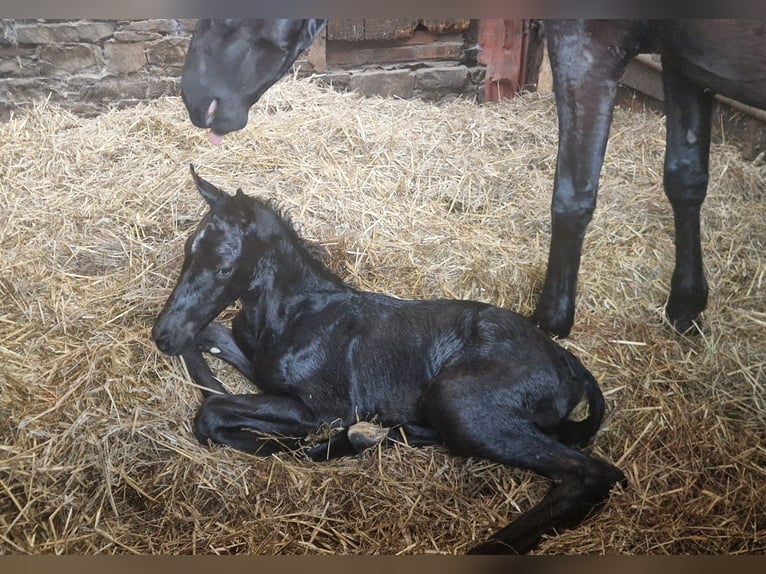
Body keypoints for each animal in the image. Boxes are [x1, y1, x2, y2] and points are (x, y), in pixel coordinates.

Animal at [152, 165, 626, 554]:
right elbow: (209, 339)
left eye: (223, 267)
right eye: (187, 252)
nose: (162, 335)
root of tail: (570, 364)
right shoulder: (262, 369)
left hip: (458, 399)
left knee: (594, 474)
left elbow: (214, 414)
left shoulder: (321, 407)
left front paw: (284, 442)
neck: (296, 313)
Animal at [179, 19, 766, 338]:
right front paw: (686, 305)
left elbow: (574, 194)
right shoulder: (683, 62)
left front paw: (550, 323)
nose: (191, 97)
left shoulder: (589, 45)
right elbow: (685, 179)